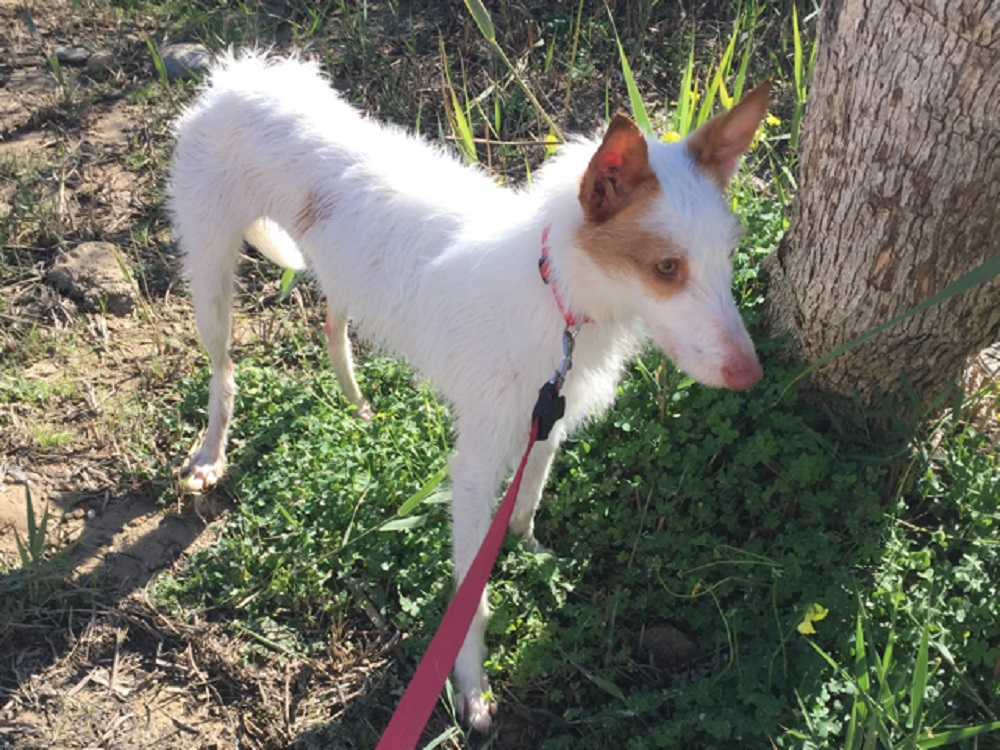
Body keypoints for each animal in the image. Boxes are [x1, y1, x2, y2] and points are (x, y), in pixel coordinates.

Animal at [168, 51, 768, 728]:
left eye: (730, 254)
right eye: (666, 268)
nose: (751, 374)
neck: (553, 290)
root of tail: (244, 75)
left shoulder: (546, 417)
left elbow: (528, 500)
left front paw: (531, 553)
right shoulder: (476, 468)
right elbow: (471, 598)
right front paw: (471, 687)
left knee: (333, 321)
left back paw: (356, 404)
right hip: (211, 276)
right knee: (222, 371)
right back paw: (210, 452)